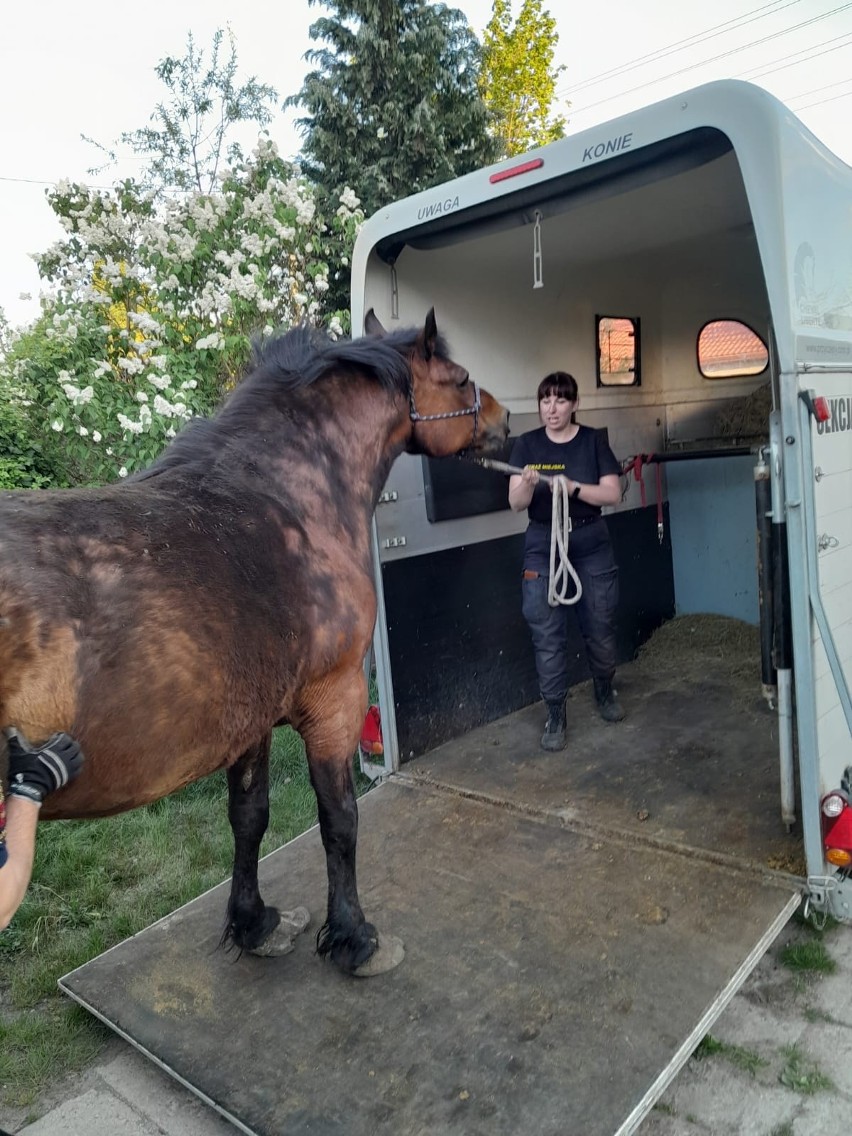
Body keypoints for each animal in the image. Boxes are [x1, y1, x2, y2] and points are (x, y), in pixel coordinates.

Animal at [0, 313, 511, 976]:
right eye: (461, 378)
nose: (505, 420)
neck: (283, 496)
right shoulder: (336, 701)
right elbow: (339, 820)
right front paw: (354, 937)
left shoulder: (250, 720)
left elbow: (248, 818)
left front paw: (254, 924)